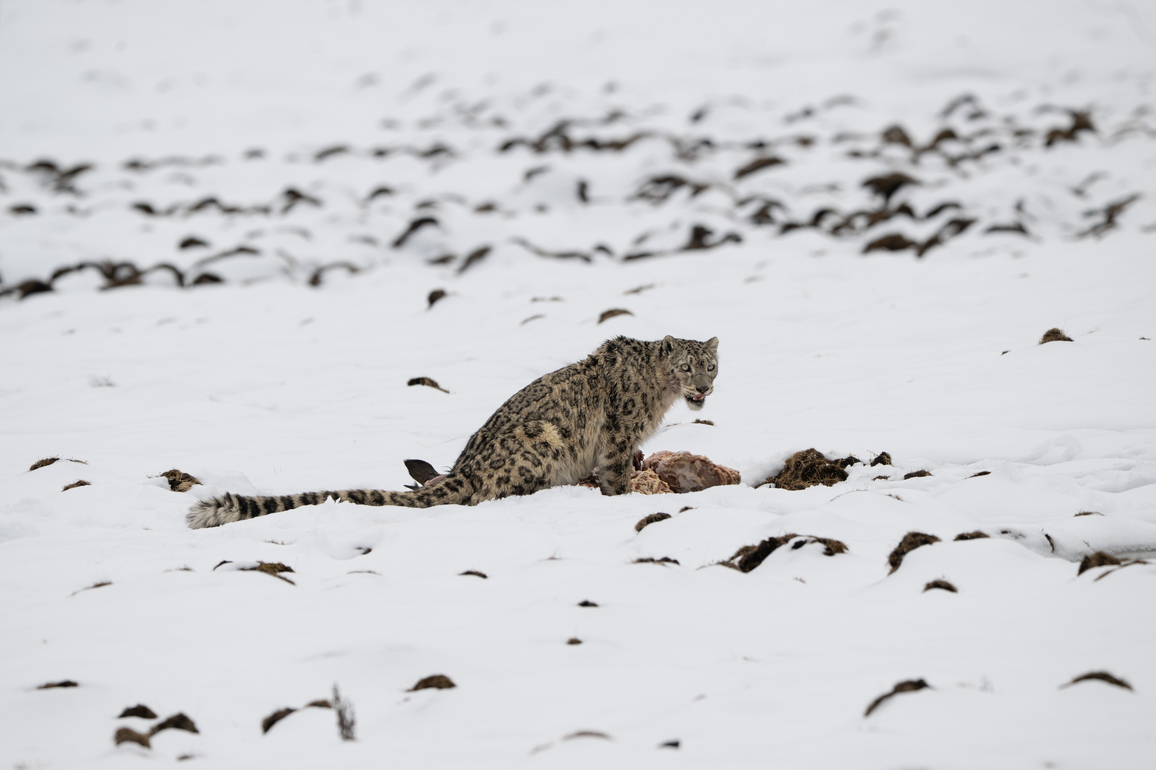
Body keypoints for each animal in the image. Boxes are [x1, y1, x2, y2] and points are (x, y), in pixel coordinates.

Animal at [186, 335, 718, 528]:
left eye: (710, 364)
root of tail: (466, 469)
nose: (703, 386)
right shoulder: (617, 437)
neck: (658, 395)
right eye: (686, 365)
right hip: (541, 443)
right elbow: (615, 475)